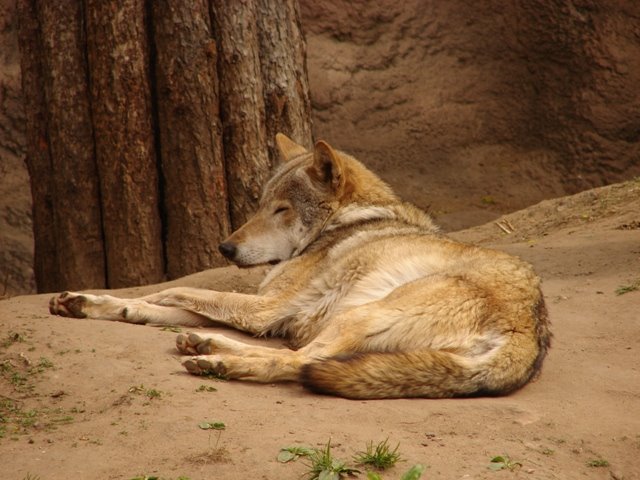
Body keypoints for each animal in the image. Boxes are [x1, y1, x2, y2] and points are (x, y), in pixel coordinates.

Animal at [48, 133, 552, 400]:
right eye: (260, 204)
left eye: (282, 210)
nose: (225, 248)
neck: (346, 222)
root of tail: (530, 335)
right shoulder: (268, 312)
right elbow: (154, 305)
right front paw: (85, 302)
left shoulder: (265, 309)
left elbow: (180, 292)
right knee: (296, 358)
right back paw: (204, 346)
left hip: (355, 315)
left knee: (298, 361)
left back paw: (216, 362)